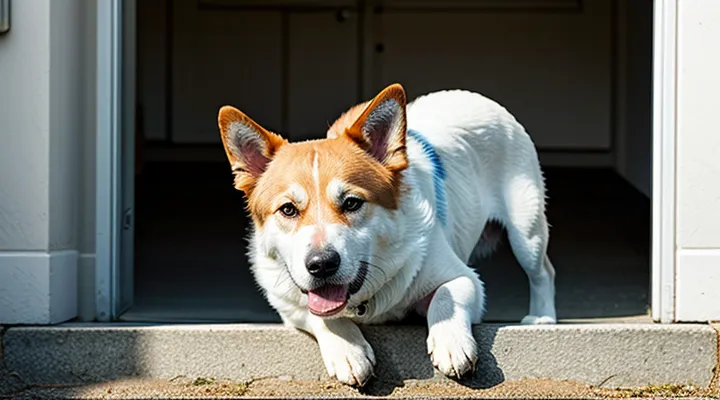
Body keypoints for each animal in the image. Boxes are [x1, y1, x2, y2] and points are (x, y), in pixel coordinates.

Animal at [218, 84, 556, 388]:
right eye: (288, 209)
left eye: (352, 203)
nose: (321, 264)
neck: (364, 298)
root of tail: (475, 96)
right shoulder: (287, 305)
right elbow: (320, 315)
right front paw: (348, 351)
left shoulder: (466, 279)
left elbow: (447, 295)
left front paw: (451, 343)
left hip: (526, 232)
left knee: (542, 272)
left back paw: (542, 318)